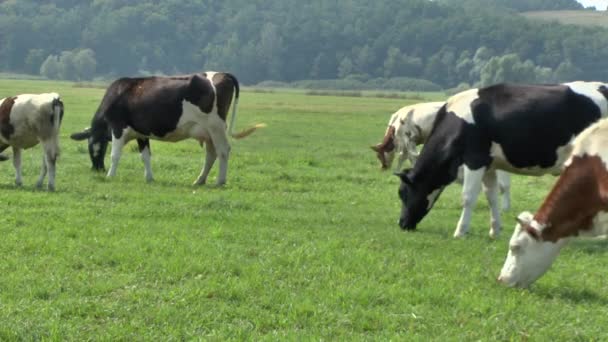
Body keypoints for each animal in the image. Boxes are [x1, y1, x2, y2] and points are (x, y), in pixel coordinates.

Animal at [69, 71, 264, 186]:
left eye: (91, 147)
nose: (97, 170)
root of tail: (222, 73)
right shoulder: (141, 133)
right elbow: (145, 156)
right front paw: (149, 178)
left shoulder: (118, 127)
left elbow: (115, 155)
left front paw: (110, 175)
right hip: (208, 131)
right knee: (211, 154)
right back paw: (199, 180)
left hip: (215, 126)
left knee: (223, 151)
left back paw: (220, 181)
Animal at [370, 101, 512, 212]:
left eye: (378, 156)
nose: (382, 168)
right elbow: (408, 156)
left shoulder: (408, 139)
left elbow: (404, 156)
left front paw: (398, 171)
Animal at [394, 81, 608, 239]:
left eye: (402, 193)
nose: (402, 224)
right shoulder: (489, 165)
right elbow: (491, 196)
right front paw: (495, 230)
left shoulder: (475, 159)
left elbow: (468, 197)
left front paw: (460, 232)